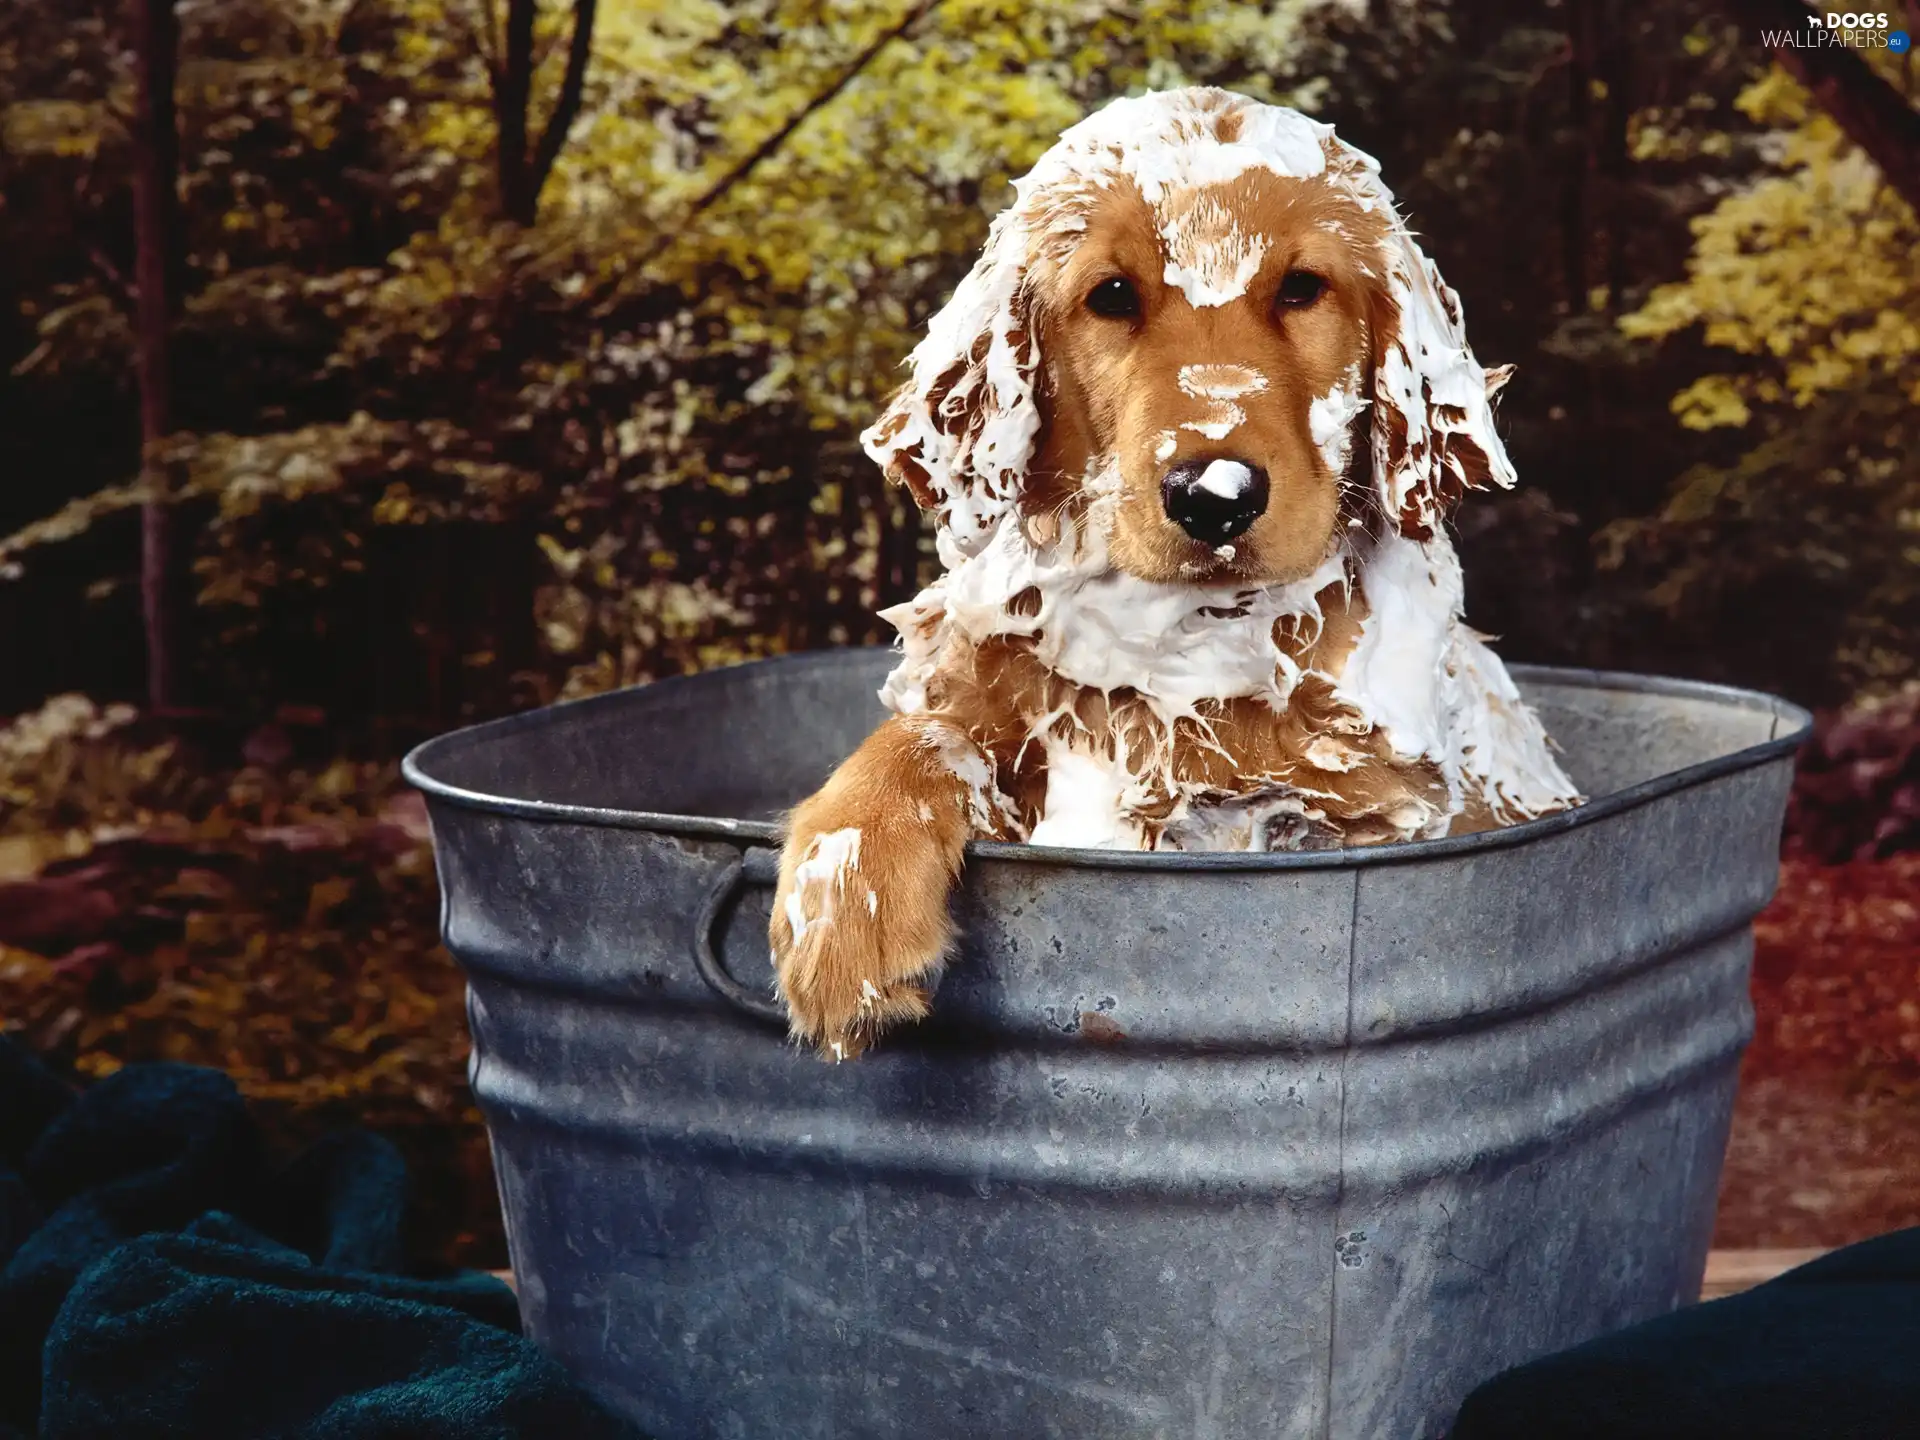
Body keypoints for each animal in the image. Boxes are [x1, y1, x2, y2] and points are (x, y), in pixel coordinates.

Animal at [771, 87, 1582, 1059]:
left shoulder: (1368, 809)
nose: (1214, 496)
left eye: (1302, 288)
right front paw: (841, 916)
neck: (1187, 642)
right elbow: (917, 739)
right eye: (1112, 296)